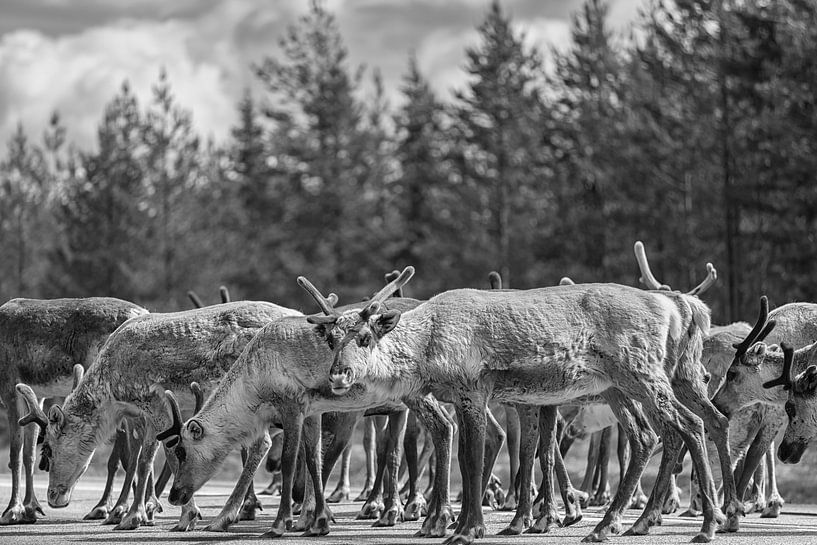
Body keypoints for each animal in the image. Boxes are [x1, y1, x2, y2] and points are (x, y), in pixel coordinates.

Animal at [0, 297, 147, 525]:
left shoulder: (9, 388)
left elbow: (15, 454)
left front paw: (12, 510)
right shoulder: (36, 394)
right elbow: (28, 454)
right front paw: (31, 508)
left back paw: (111, 508)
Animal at [16, 299, 300, 531]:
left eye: (48, 449)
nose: (53, 497)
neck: (111, 392)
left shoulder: (156, 403)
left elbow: (159, 457)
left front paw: (175, 516)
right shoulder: (144, 415)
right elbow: (145, 460)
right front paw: (141, 513)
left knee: (263, 442)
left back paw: (232, 515)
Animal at [303, 265, 738, 544]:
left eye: (364, 337)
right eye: (333, 339)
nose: (338, 375)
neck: (428, 348)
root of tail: (678, 307)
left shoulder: (473, 392)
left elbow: (472, 458)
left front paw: (466, 530)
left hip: (642, 374)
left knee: (688, 426)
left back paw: (705, 525)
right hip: (639, 381)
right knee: (661, 432)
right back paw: (627, 523)